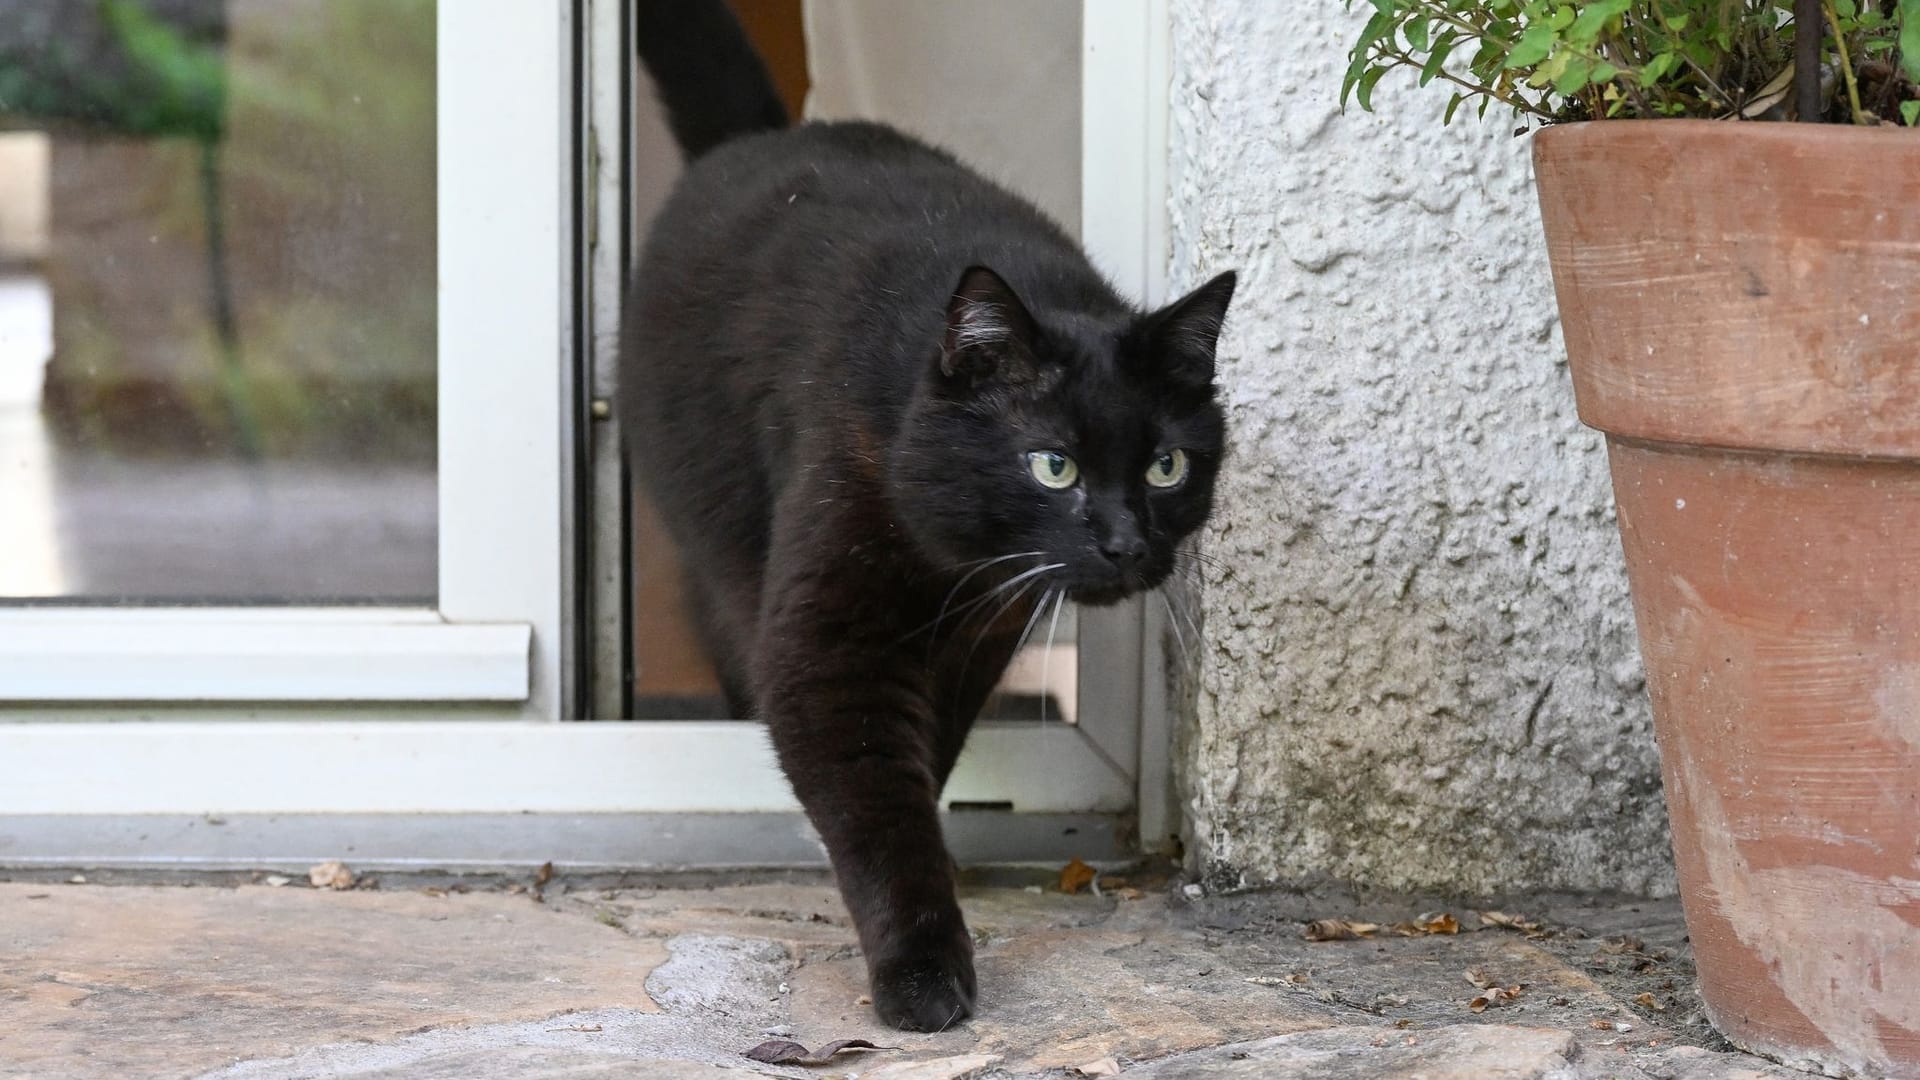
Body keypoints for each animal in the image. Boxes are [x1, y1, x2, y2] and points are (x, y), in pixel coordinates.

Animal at [622, 0, 1236, 1022]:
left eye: (1165, 466)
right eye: (1054, 466)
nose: (1125, 543)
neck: (950, 564)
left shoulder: (982, 629)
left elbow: (920, 765)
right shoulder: (834, 637)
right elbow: (876, 800)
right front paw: (920, 968)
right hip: (714, 523)